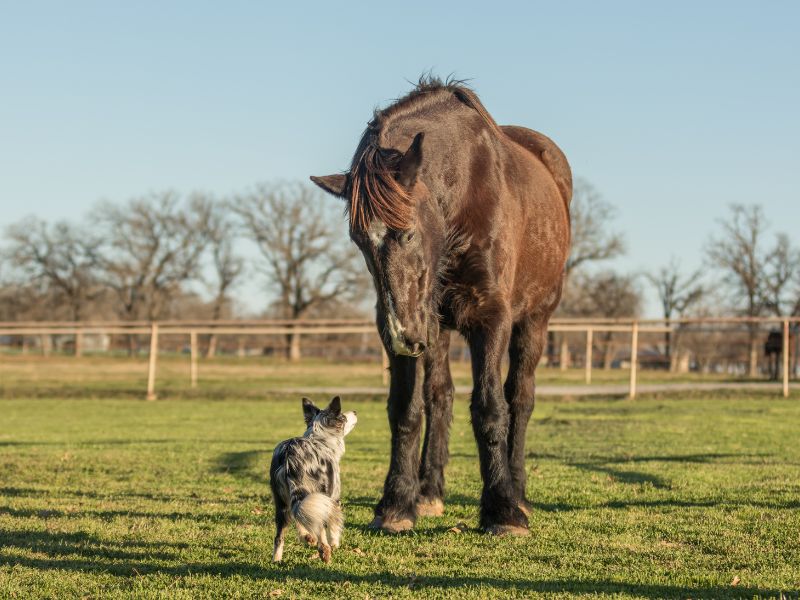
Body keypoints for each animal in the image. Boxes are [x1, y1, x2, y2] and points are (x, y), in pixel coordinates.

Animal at [268, 398, 356, 564]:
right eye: (343, 417)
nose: (355, 411)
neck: (320, 439)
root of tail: (290, 454)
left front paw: (306, 537)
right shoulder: (334, 497)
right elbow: (333, 523)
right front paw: (335, 543)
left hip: (282, 502)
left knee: (280, 535)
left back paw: (278, 558)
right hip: (318, 494)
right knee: (319, 526)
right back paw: (324, 550)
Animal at [310, 78, 572, 536]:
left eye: (409, 233)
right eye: (359, 241)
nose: (406, 337)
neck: (466, 189)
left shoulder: (491, 317)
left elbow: (491, 408)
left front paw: (502, 510)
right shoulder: (404, 325)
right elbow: (407, 408)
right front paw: (396, 505)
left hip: (534, 321)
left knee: (520, 399)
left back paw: (519, 494)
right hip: (436, 328)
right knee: (441, 396)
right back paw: (429, 492)